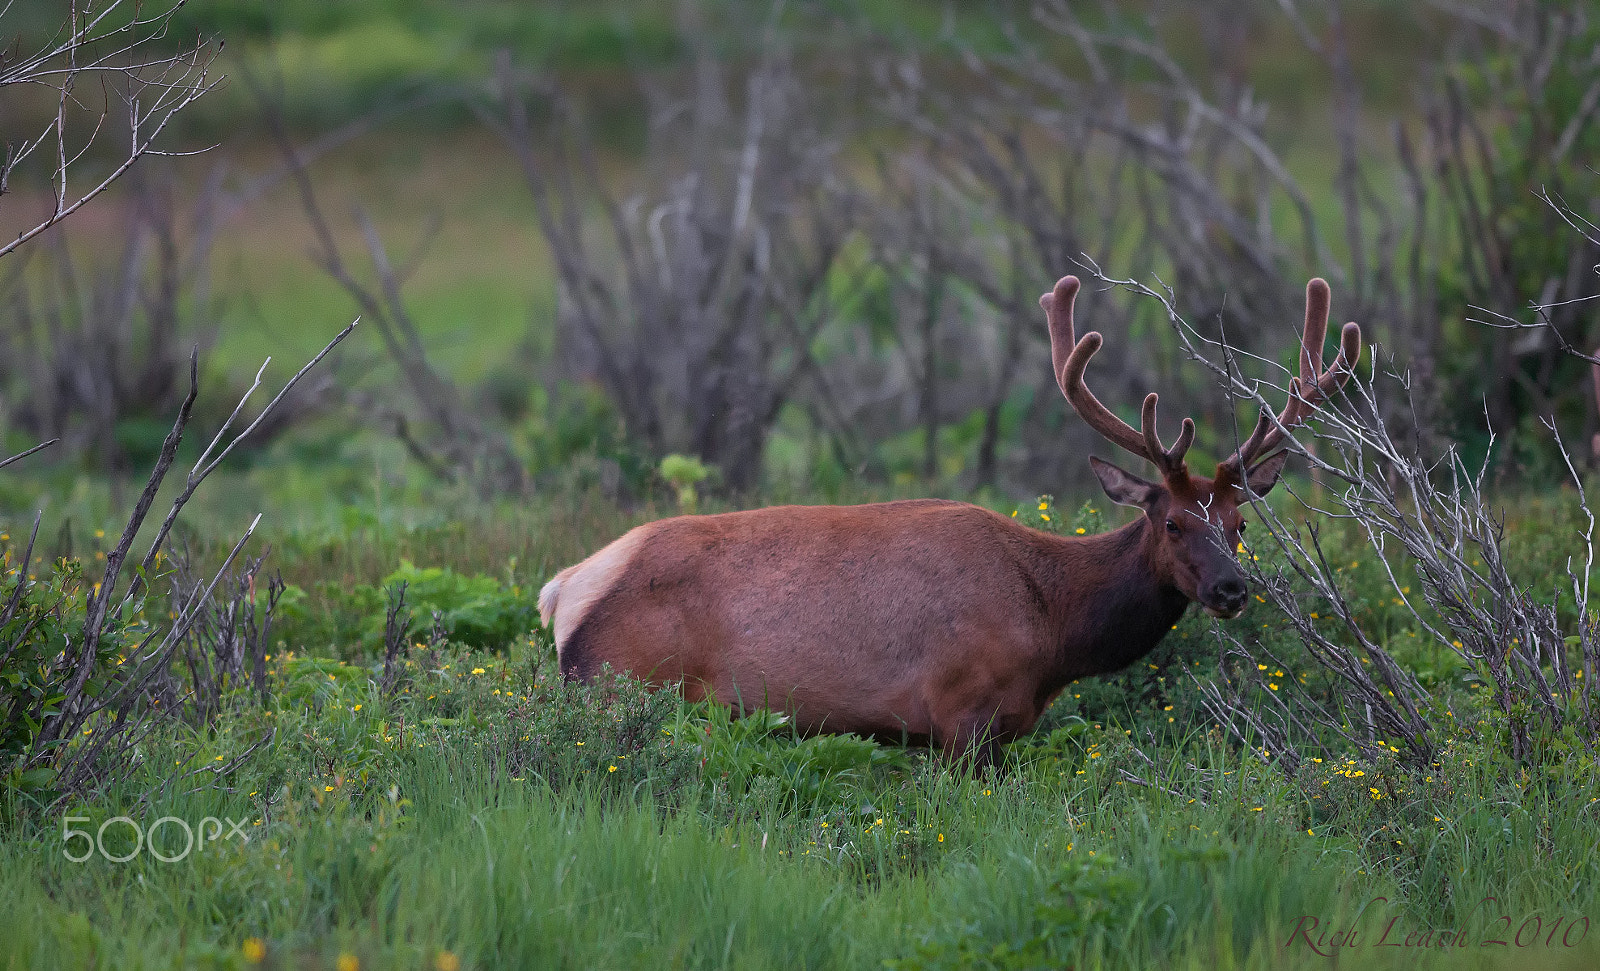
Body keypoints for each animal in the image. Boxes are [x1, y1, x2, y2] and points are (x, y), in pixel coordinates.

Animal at [540, 273, 1363, 767]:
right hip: (624, 681)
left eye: (1239, 522)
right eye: (1171, 523)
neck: (1051, 634)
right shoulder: (961, 714)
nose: (1231, 590)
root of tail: (563, 587)